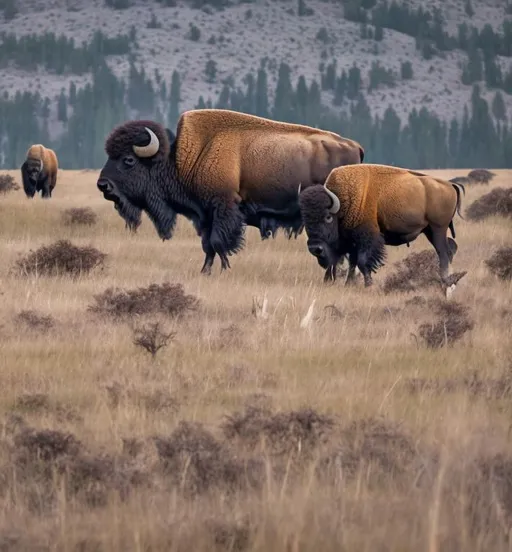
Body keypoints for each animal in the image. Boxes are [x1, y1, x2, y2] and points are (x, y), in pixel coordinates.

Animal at [96, 108, 364, 274]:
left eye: (128, 160)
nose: (103, 185)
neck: (186, 157)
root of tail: (355, 146)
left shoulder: (223, 206)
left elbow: (218, 242)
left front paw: (224, 268)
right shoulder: (205, 214)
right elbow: (208, 245)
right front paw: (205, 271)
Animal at [298, 162, 466, 286]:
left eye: (327, 217)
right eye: (305, 218)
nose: (315, 248)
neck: (344, 201)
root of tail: (450, 185)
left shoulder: (367, 237)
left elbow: (363, 261)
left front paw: (368, 284)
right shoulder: (351, 241)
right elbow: (352, 262)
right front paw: (349, 284)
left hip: (438, 228)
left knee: (443, 253)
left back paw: (444, 280)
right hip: (430, 230)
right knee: (448, 249)